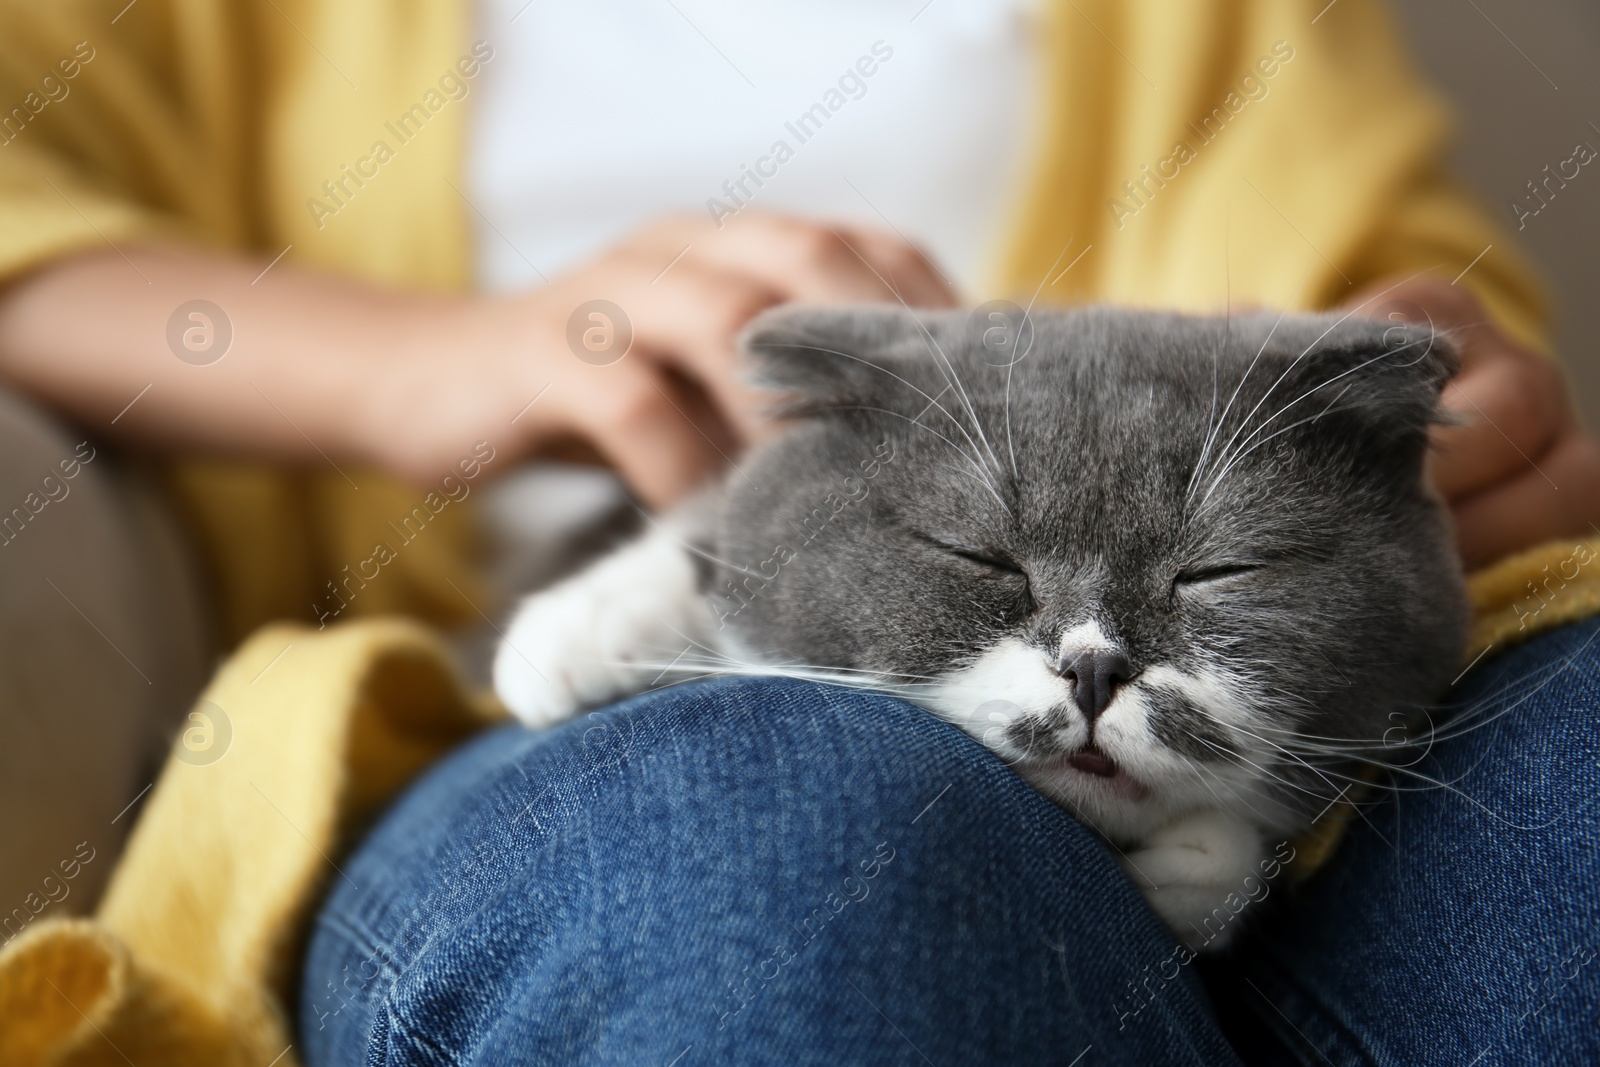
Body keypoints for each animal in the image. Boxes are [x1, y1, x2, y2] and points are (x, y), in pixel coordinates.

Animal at [492, 302, 1465, 953]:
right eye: (979, 556)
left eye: (1218, 572)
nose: (1095, 667)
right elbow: (708, 525)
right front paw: (573, 637)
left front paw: (1198, 864)